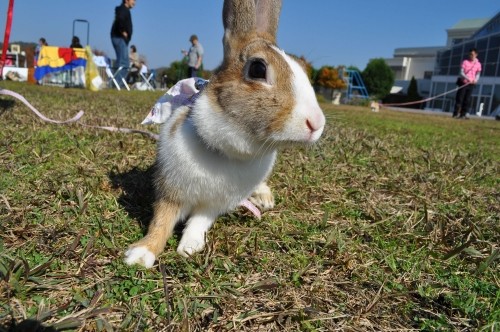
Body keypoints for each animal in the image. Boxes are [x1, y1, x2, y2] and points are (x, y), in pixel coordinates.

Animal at [125, 0, 326, 268]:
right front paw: (139, 254)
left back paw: (264, 197)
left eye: (304, 69)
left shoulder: (214, 205)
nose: (316, 123)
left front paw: (190, 246)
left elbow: (199, 220)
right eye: (258, 68)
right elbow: (161, 222)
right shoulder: (171, 192)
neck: (227, 152)